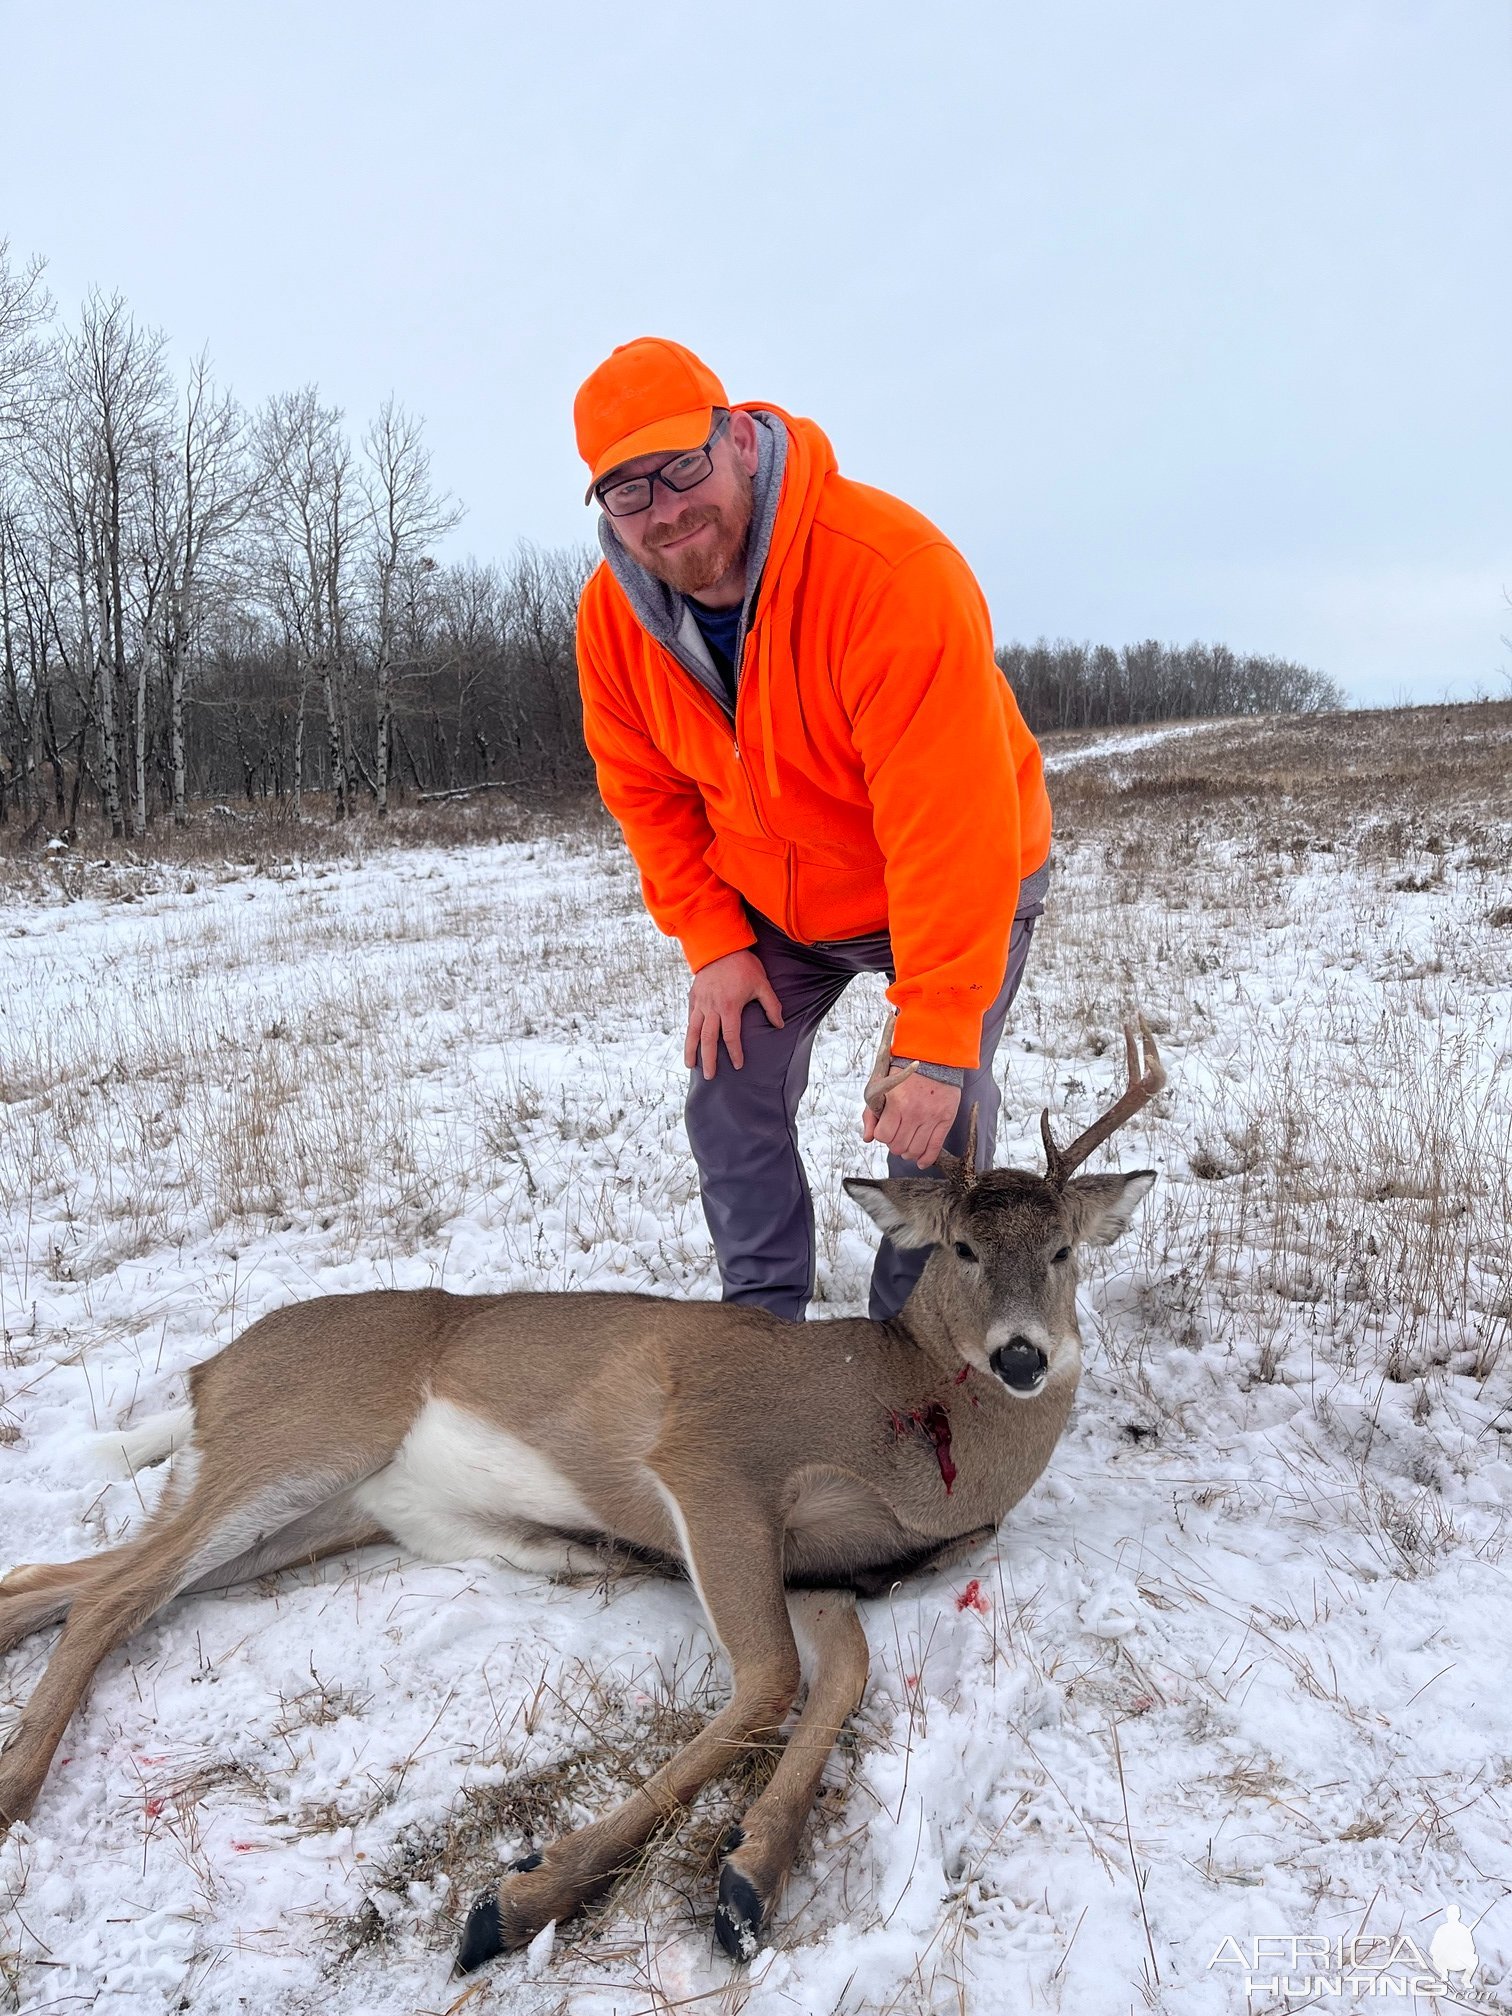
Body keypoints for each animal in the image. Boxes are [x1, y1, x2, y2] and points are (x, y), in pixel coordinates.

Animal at [0, 1024, 1169, 1967]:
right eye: (963, 1247)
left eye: (1064, 1249)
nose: (1023, 1357)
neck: (898, 1408)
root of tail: (211, 1369)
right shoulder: (712, 1463)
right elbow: (769, 1686)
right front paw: (521, 1900)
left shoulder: (825, 1572)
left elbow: (837, 1681)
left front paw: (749, 1876)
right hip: (297, 1436)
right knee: (112, 1594)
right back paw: (14, 1790)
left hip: (313, 1513)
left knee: (68, 1578)